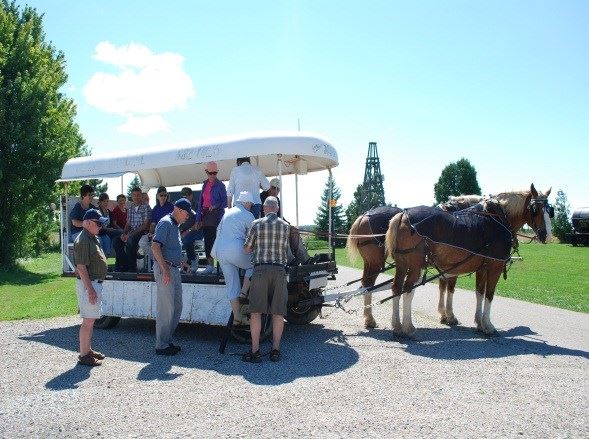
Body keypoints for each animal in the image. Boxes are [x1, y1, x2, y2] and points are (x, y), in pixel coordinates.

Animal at [386, 184, 552, 338]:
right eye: (535, 209)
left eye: (550, 211)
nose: (547, 236)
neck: (498, 219)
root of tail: (402, 215)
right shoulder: (495, 266)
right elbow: (489, 294)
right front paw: (488, 325)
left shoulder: (482, 268)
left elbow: (479, 293)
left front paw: (479, 323)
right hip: (415, 266)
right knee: (408, 290)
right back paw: (408, 328)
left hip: (402, 265)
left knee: (396, 288)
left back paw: (397, 326)